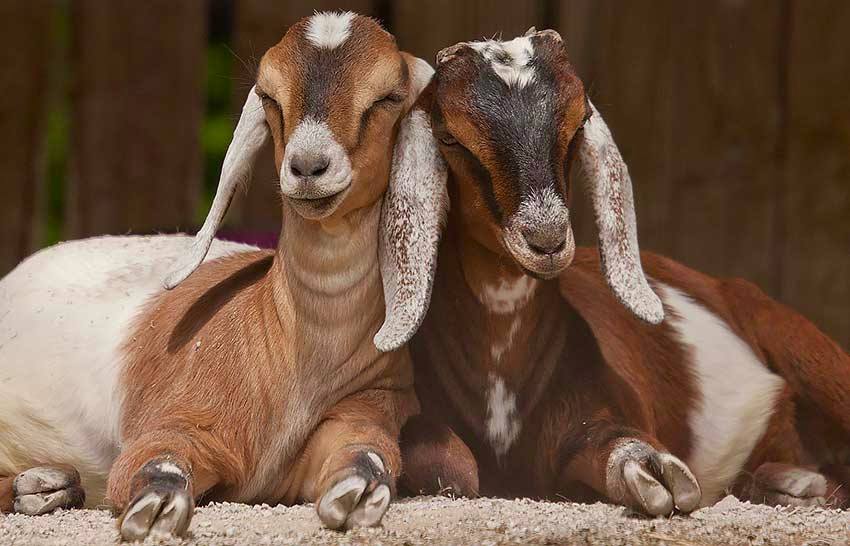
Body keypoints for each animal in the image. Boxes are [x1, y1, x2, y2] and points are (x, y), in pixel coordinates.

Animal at [0, 12, 444, 539]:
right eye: (270, 95)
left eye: (388, 97)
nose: (307, 166)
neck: (292, 356)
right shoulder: (176, 420)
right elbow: (157, 463)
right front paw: (154, 509)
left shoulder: (364, 414)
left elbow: (368, 458)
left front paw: (359, 496)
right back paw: (39, 485)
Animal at [396, 29, 850, 515]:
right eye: (449, 137)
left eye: (578, 124)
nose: (547, 239)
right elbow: (437, 457)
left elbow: (615, 441)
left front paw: (650, 470)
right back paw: (793, 483)